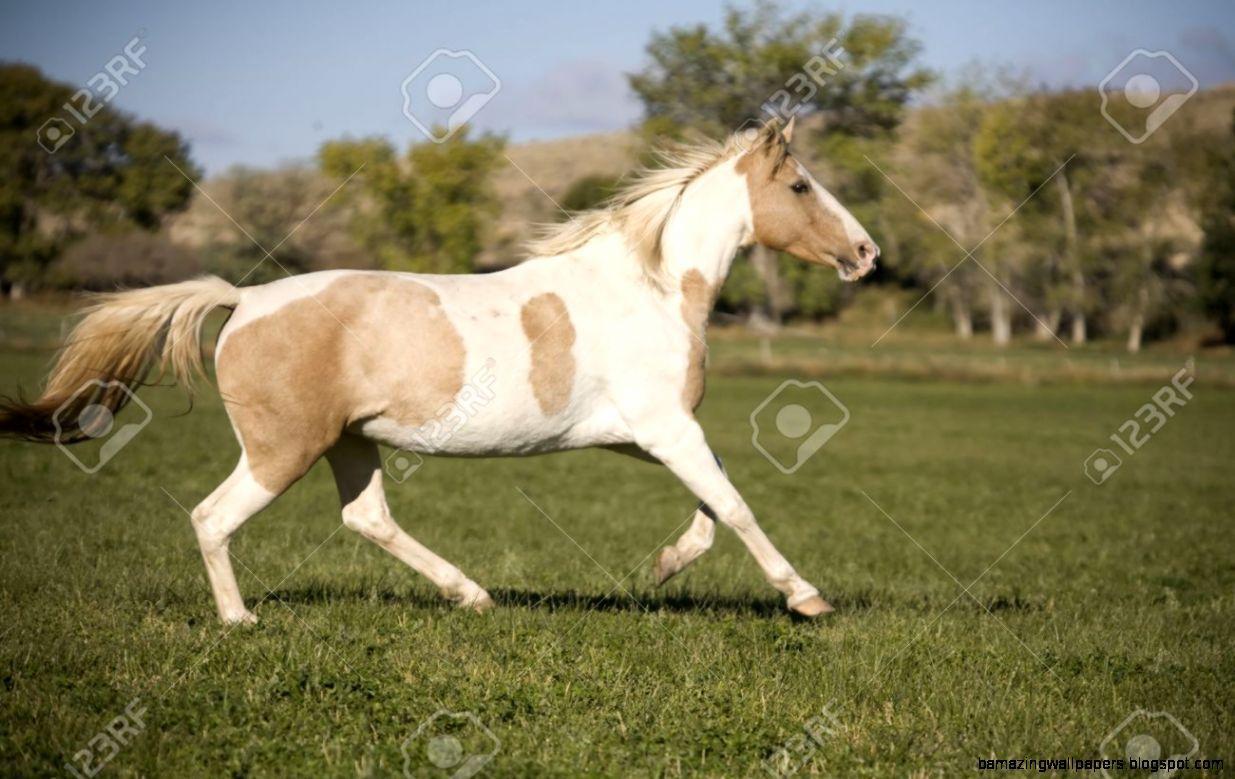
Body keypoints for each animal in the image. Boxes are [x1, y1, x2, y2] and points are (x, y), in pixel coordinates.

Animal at [0, 118, 878, 624]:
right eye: (800, 184)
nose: (866, 253)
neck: (652, 286)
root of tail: (242, 301)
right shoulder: (663, 426)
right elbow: (733, 504)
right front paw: (807, 598)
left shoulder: (645, 434)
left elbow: (712, 500)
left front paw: (663, 567)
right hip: (281, 449)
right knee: (212, 517)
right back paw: (240, 621)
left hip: (350, 441)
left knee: (367, 519)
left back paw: (472, 595)